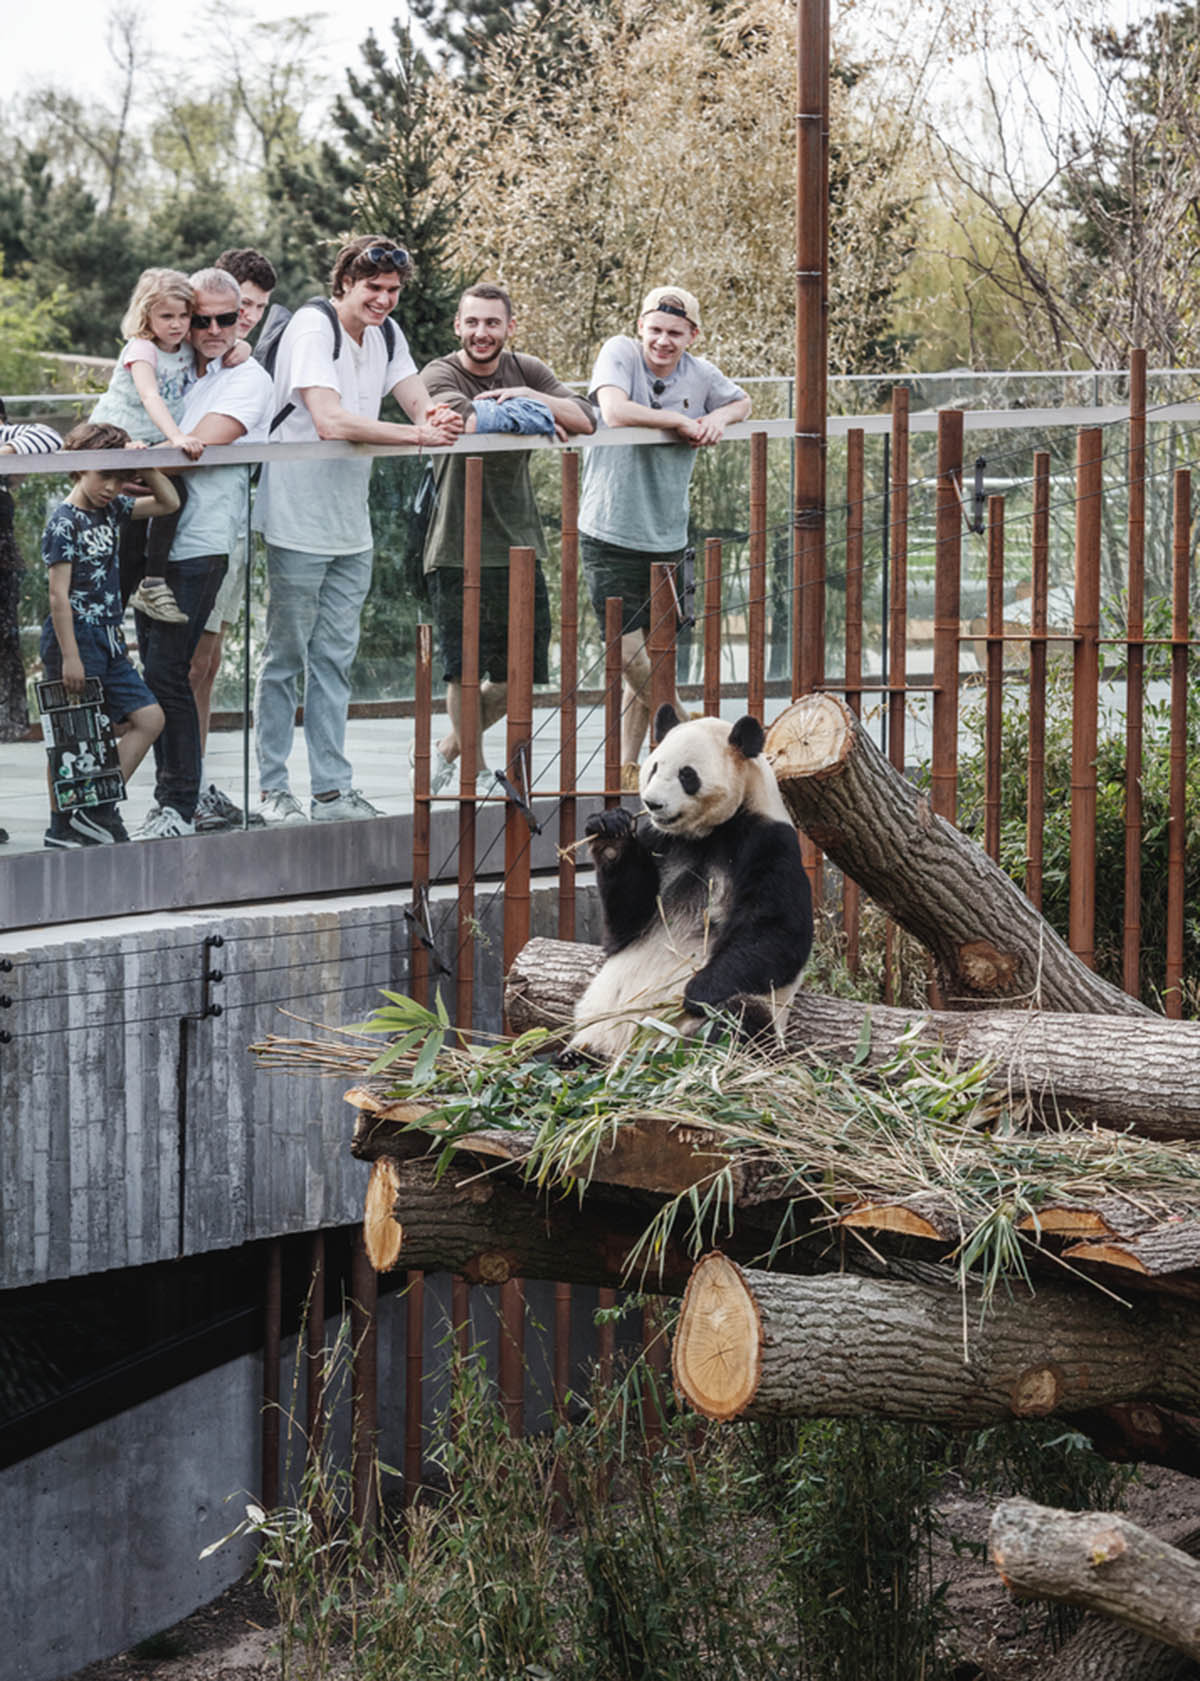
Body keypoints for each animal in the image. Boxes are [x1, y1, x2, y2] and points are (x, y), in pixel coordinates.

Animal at [571, 702, 813, 1055]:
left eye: (687, 775)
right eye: (654, 767)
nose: (652, 803)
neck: (706, 834)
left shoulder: (768, 840)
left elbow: (778, 930)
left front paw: (696, 991)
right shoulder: (659, 840)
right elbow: (625, 925)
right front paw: (610, 831)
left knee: (739, 1018)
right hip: (599, 1025)